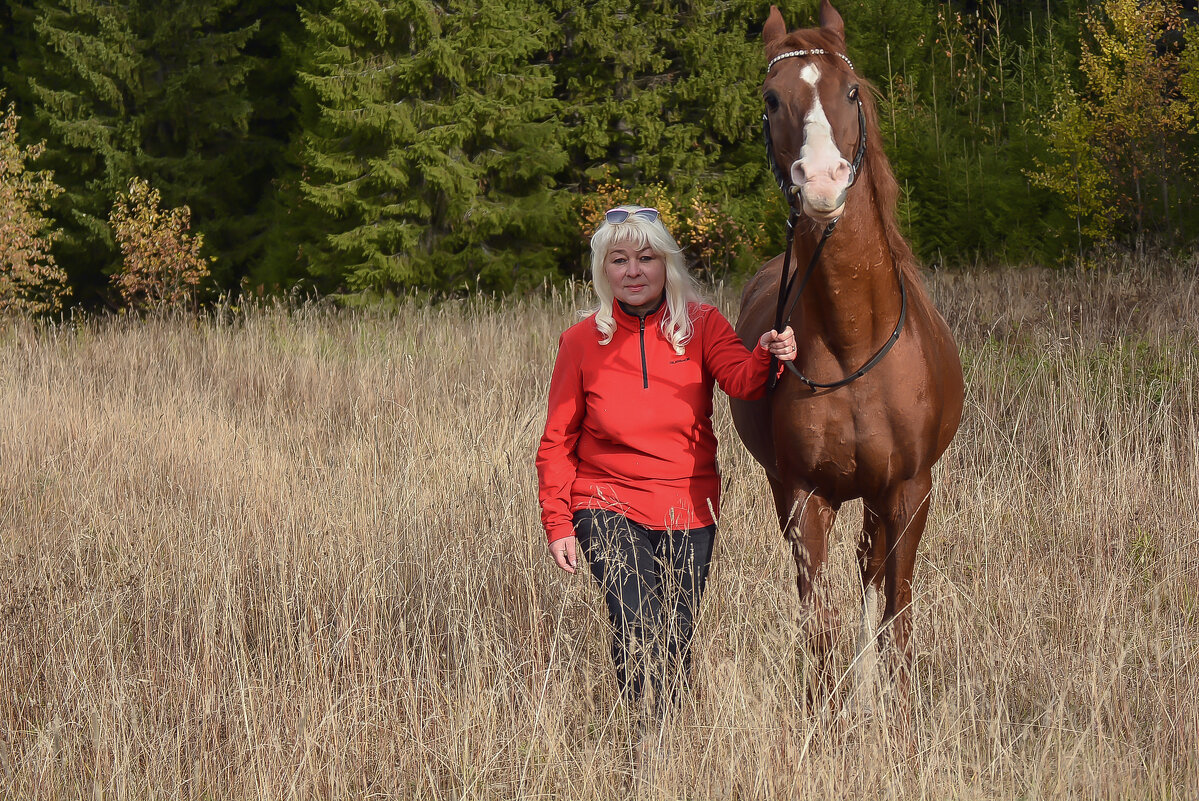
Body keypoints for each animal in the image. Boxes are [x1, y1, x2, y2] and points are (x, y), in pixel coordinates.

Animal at [728, 1, 963, 724]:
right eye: (772, 98)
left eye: (852, 92)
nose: (824, 182)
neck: (855, 339)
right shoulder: (803, 496)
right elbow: (817, 620)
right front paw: (821, 715)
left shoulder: (910, 490)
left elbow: (897, 606)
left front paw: (899, 713)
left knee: (871, 573)